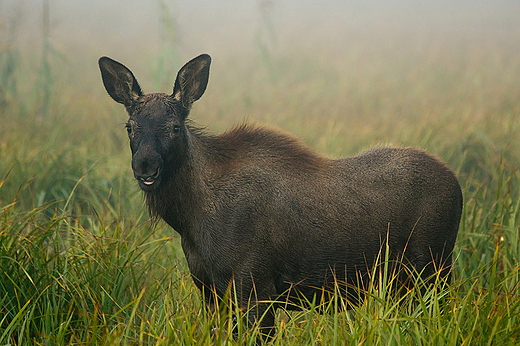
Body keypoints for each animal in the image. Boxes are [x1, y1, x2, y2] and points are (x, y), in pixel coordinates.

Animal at [98, 53, 464, 338]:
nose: (145, 167)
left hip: (431, 268)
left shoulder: (254, 287)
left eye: (175, 127)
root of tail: (458, 185)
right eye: (130, 127)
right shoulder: (209, 289)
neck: (191, 218)